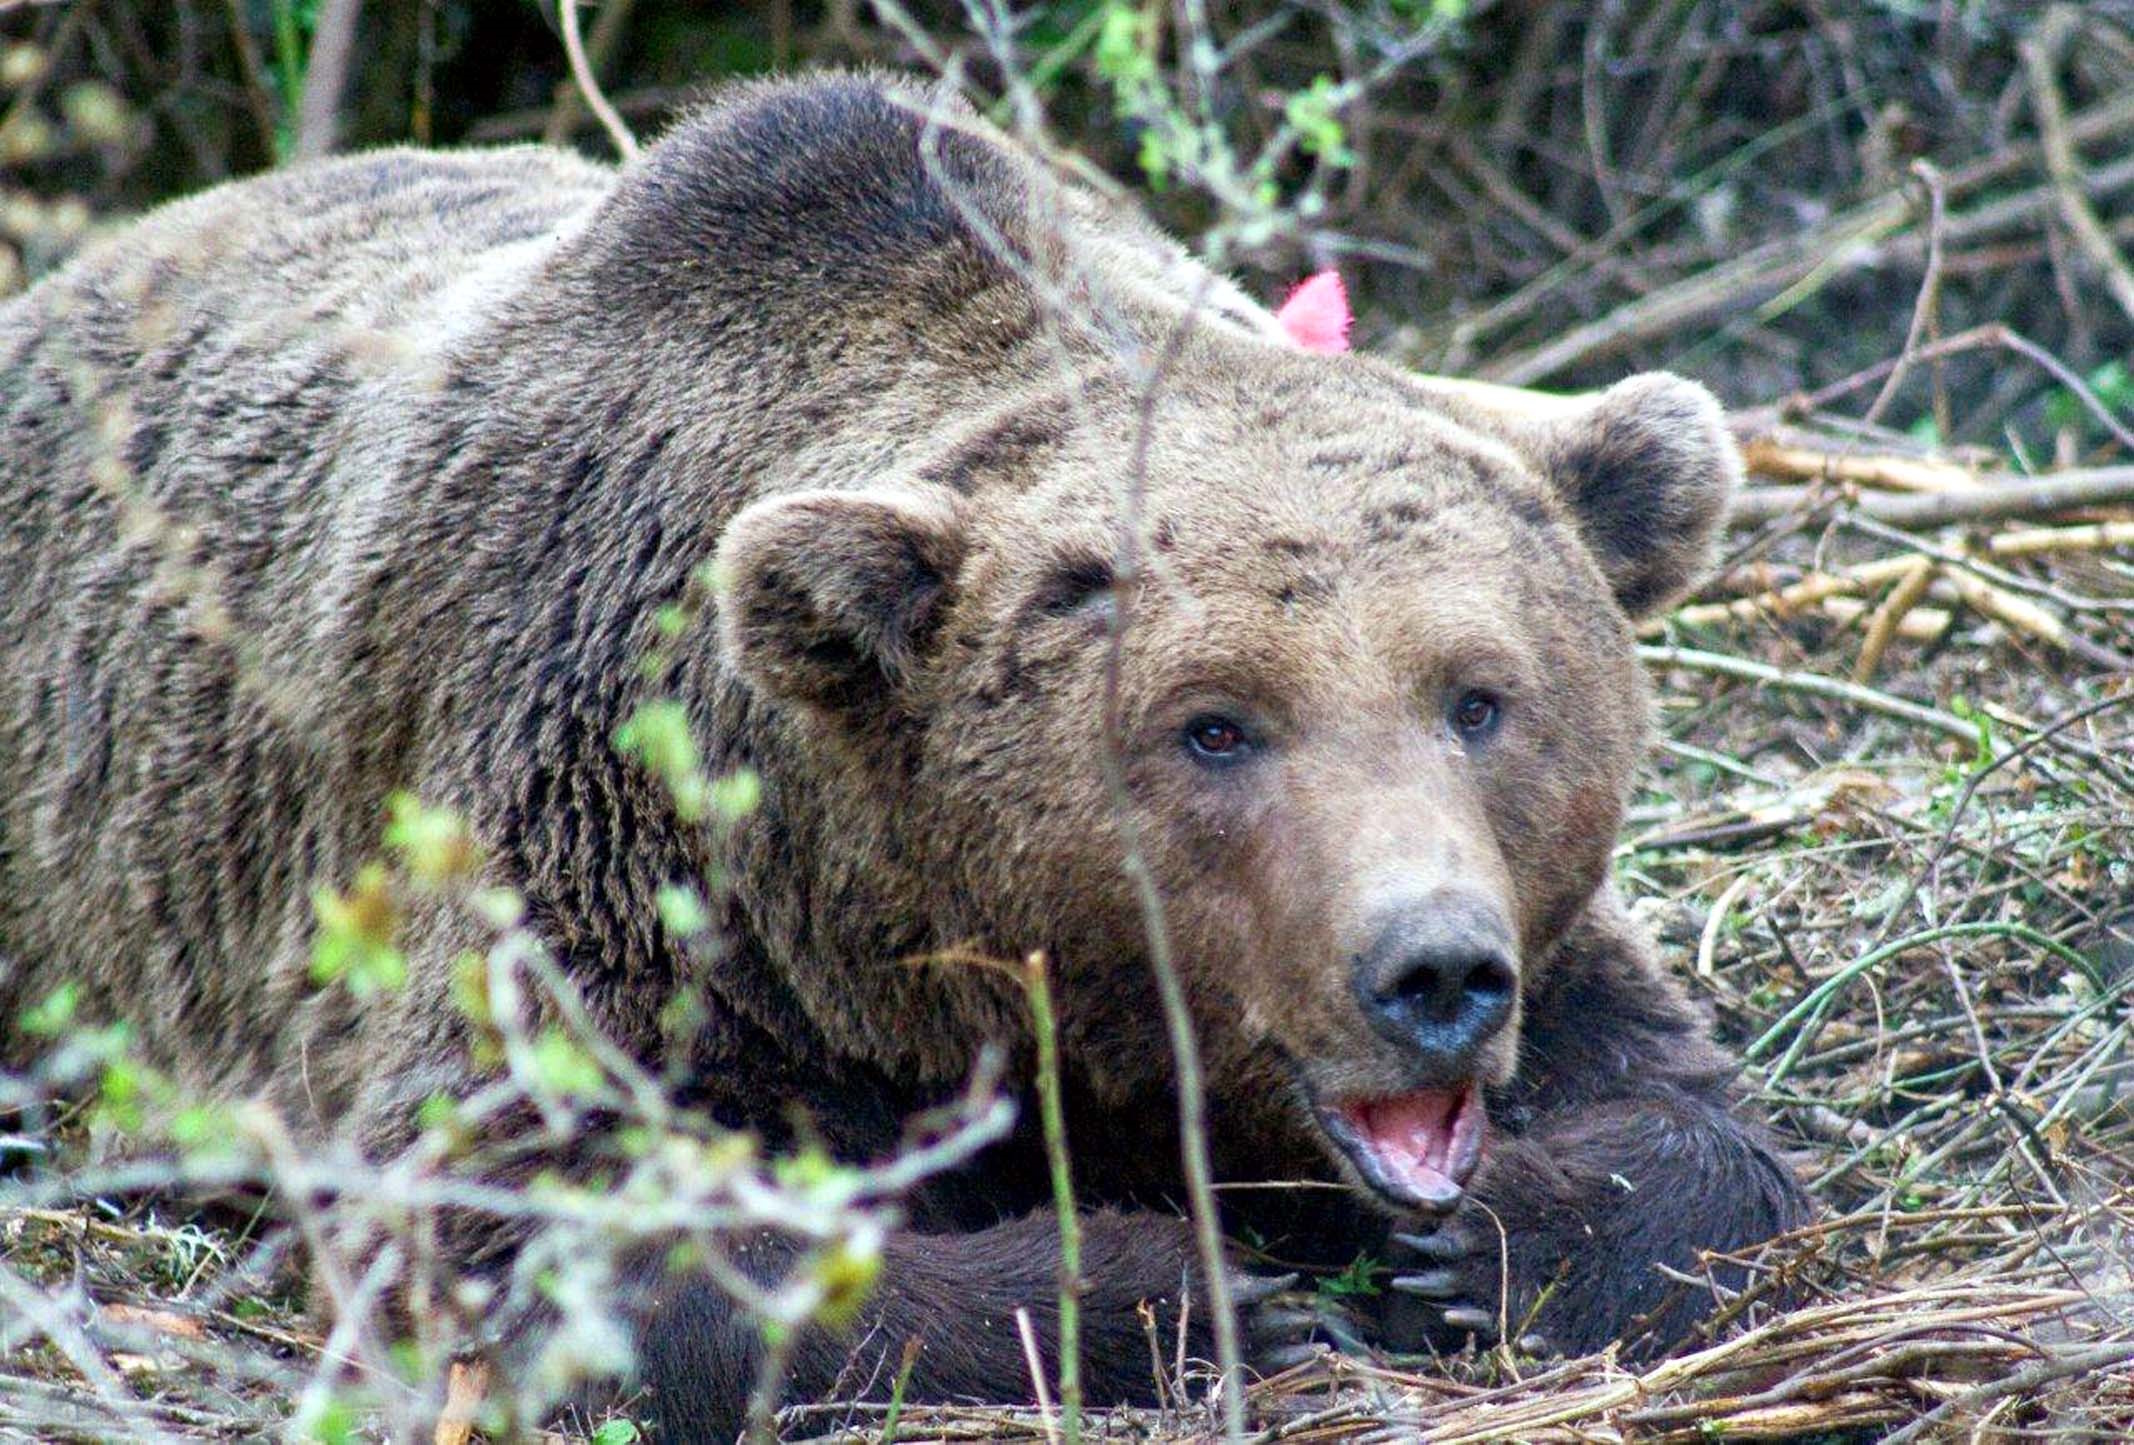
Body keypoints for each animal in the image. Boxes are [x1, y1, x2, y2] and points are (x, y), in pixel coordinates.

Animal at [0, 76, 1809, 1434]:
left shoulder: (1548, 938)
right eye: (1213, 725)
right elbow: (533, 1217)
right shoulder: (607, 836)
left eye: (1477, 698)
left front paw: (1498, 1239)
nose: (1428, 972)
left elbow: (1695, 1113)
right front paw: (1180, 1291)